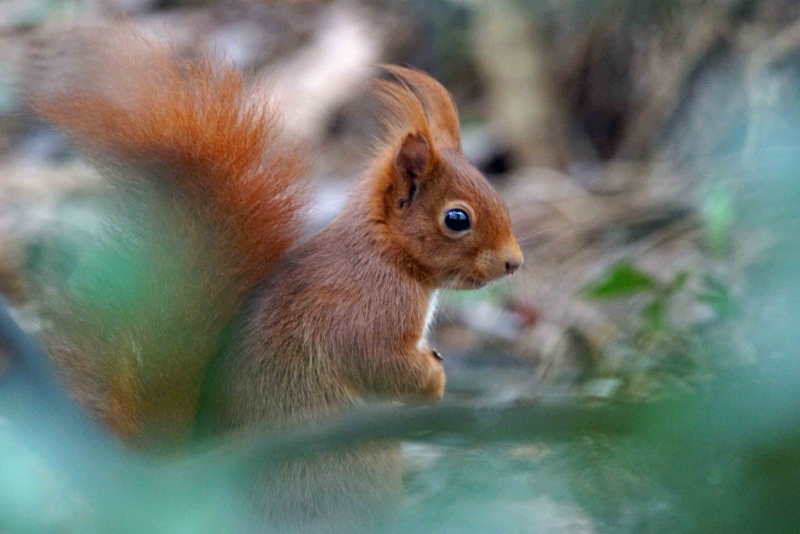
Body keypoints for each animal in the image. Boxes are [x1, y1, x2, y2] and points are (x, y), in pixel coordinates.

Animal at [28, 32, 520, 532]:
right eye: (456, 219)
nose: (513, 263)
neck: (388, 253)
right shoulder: (367, 307)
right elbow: (377, 361)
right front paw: (433, 381)